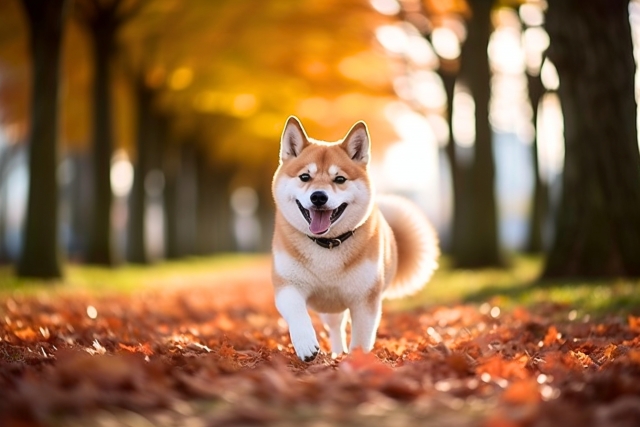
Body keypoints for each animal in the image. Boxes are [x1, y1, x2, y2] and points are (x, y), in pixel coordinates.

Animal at [270, 116, 440, 362]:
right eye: (305, 177)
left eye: (339, 179)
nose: (318, 196)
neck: (327, 245)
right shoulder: (287, 284)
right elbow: (297, 314)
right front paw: (305, 344)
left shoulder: (365, 300)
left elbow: (361, 339)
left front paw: (356, 362)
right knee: (335, 326)